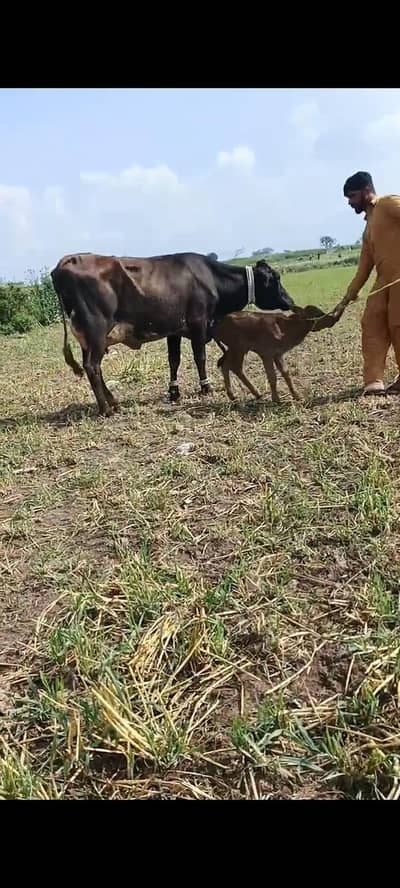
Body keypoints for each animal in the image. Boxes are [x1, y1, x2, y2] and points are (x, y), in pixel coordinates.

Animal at [50, 251, 294, 416]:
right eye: (276, 279)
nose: (290, 301)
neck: (210, 279)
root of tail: (65, 262)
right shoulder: (198, 323)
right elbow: (199, 357)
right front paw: (206, 387)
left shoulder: (174, 330)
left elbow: (174, 360)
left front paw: (174, 392)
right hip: (96, 333)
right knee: (93, 367)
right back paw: (106, 408)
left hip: (87, 339)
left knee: (93, 368)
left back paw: (114, 402)